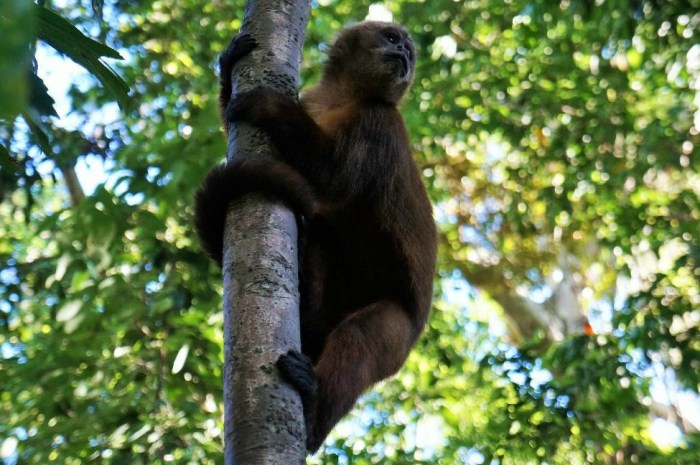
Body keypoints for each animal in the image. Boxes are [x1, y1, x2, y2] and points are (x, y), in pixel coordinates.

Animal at [194, 22, 437, 453]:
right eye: (394, 40)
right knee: (322, 231)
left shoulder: (380, 121)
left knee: (359, 337)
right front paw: (227, 68)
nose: (404, 58)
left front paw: (269, 107)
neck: (345, 98)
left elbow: (330, 180)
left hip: (400, 331)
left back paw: (312, 411)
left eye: (408, 50)